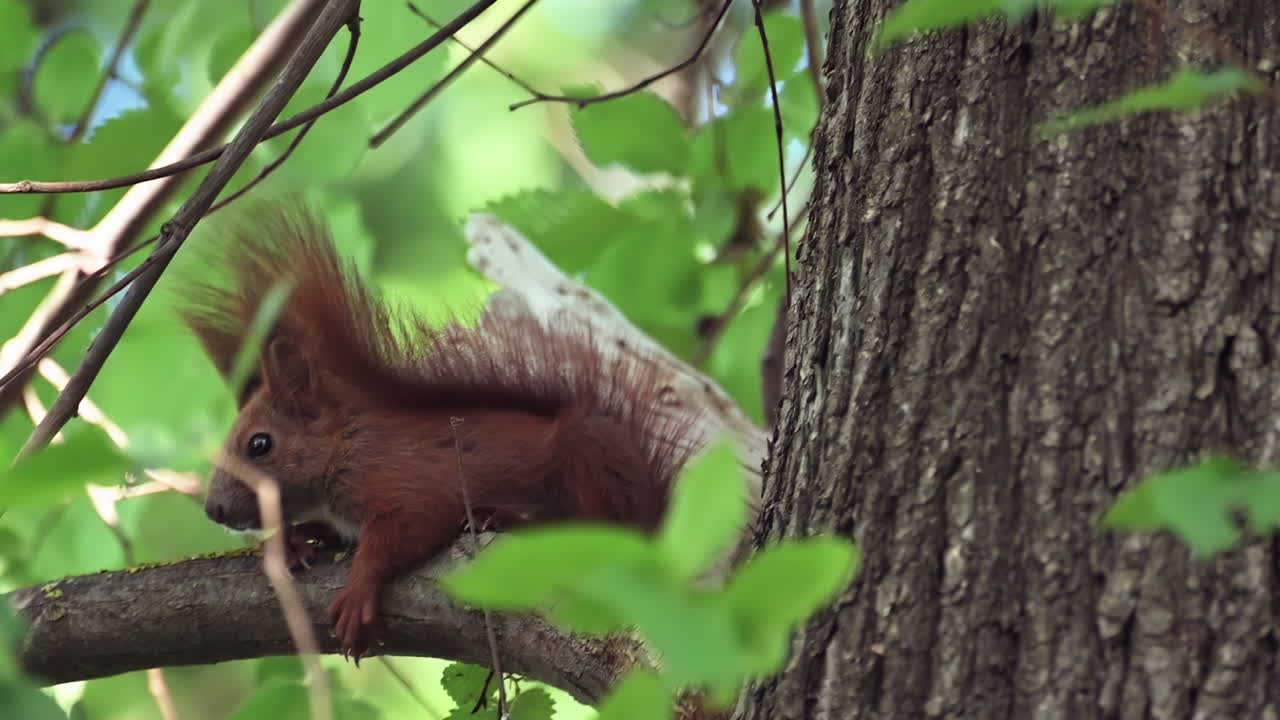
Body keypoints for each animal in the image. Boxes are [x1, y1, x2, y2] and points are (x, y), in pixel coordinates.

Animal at [178, 207, 704, 660]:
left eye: (259, 444)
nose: (214, 510)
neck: (344, 447)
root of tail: (658, 518)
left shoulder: (404, 478)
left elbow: (406, 528)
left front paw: (358, 590)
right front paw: (289, 540)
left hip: (587, 460)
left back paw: (505, 517)